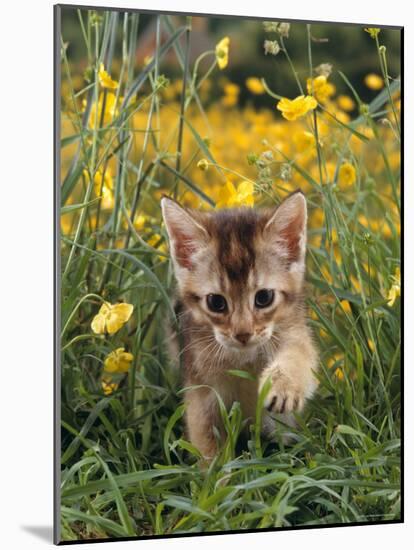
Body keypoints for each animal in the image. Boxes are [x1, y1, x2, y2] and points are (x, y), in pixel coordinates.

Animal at [161, 191, 316, 462]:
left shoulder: (294, 330)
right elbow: (208, 448)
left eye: (264, 297)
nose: (243, 333)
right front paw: (218, 474)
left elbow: (299, 355)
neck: (243, 358)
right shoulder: (201, 396)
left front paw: (284, 386)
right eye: (216, 302)